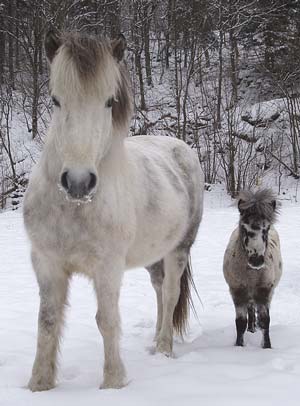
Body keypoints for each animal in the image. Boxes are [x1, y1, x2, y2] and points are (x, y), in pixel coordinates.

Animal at [23, 30, 205, 392]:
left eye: (109, 102)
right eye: (55, 100)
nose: (78, 182)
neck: (74, 209)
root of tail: (181, 148)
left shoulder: (108, 267)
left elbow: (106, 320)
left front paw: (113, 383)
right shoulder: (46, 263)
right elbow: (47, 321)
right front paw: (39, 384)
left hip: (179, 249)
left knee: (171, 293)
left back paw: (164, 348)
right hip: (153, 256)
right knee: (159, 289)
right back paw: (154, 341)